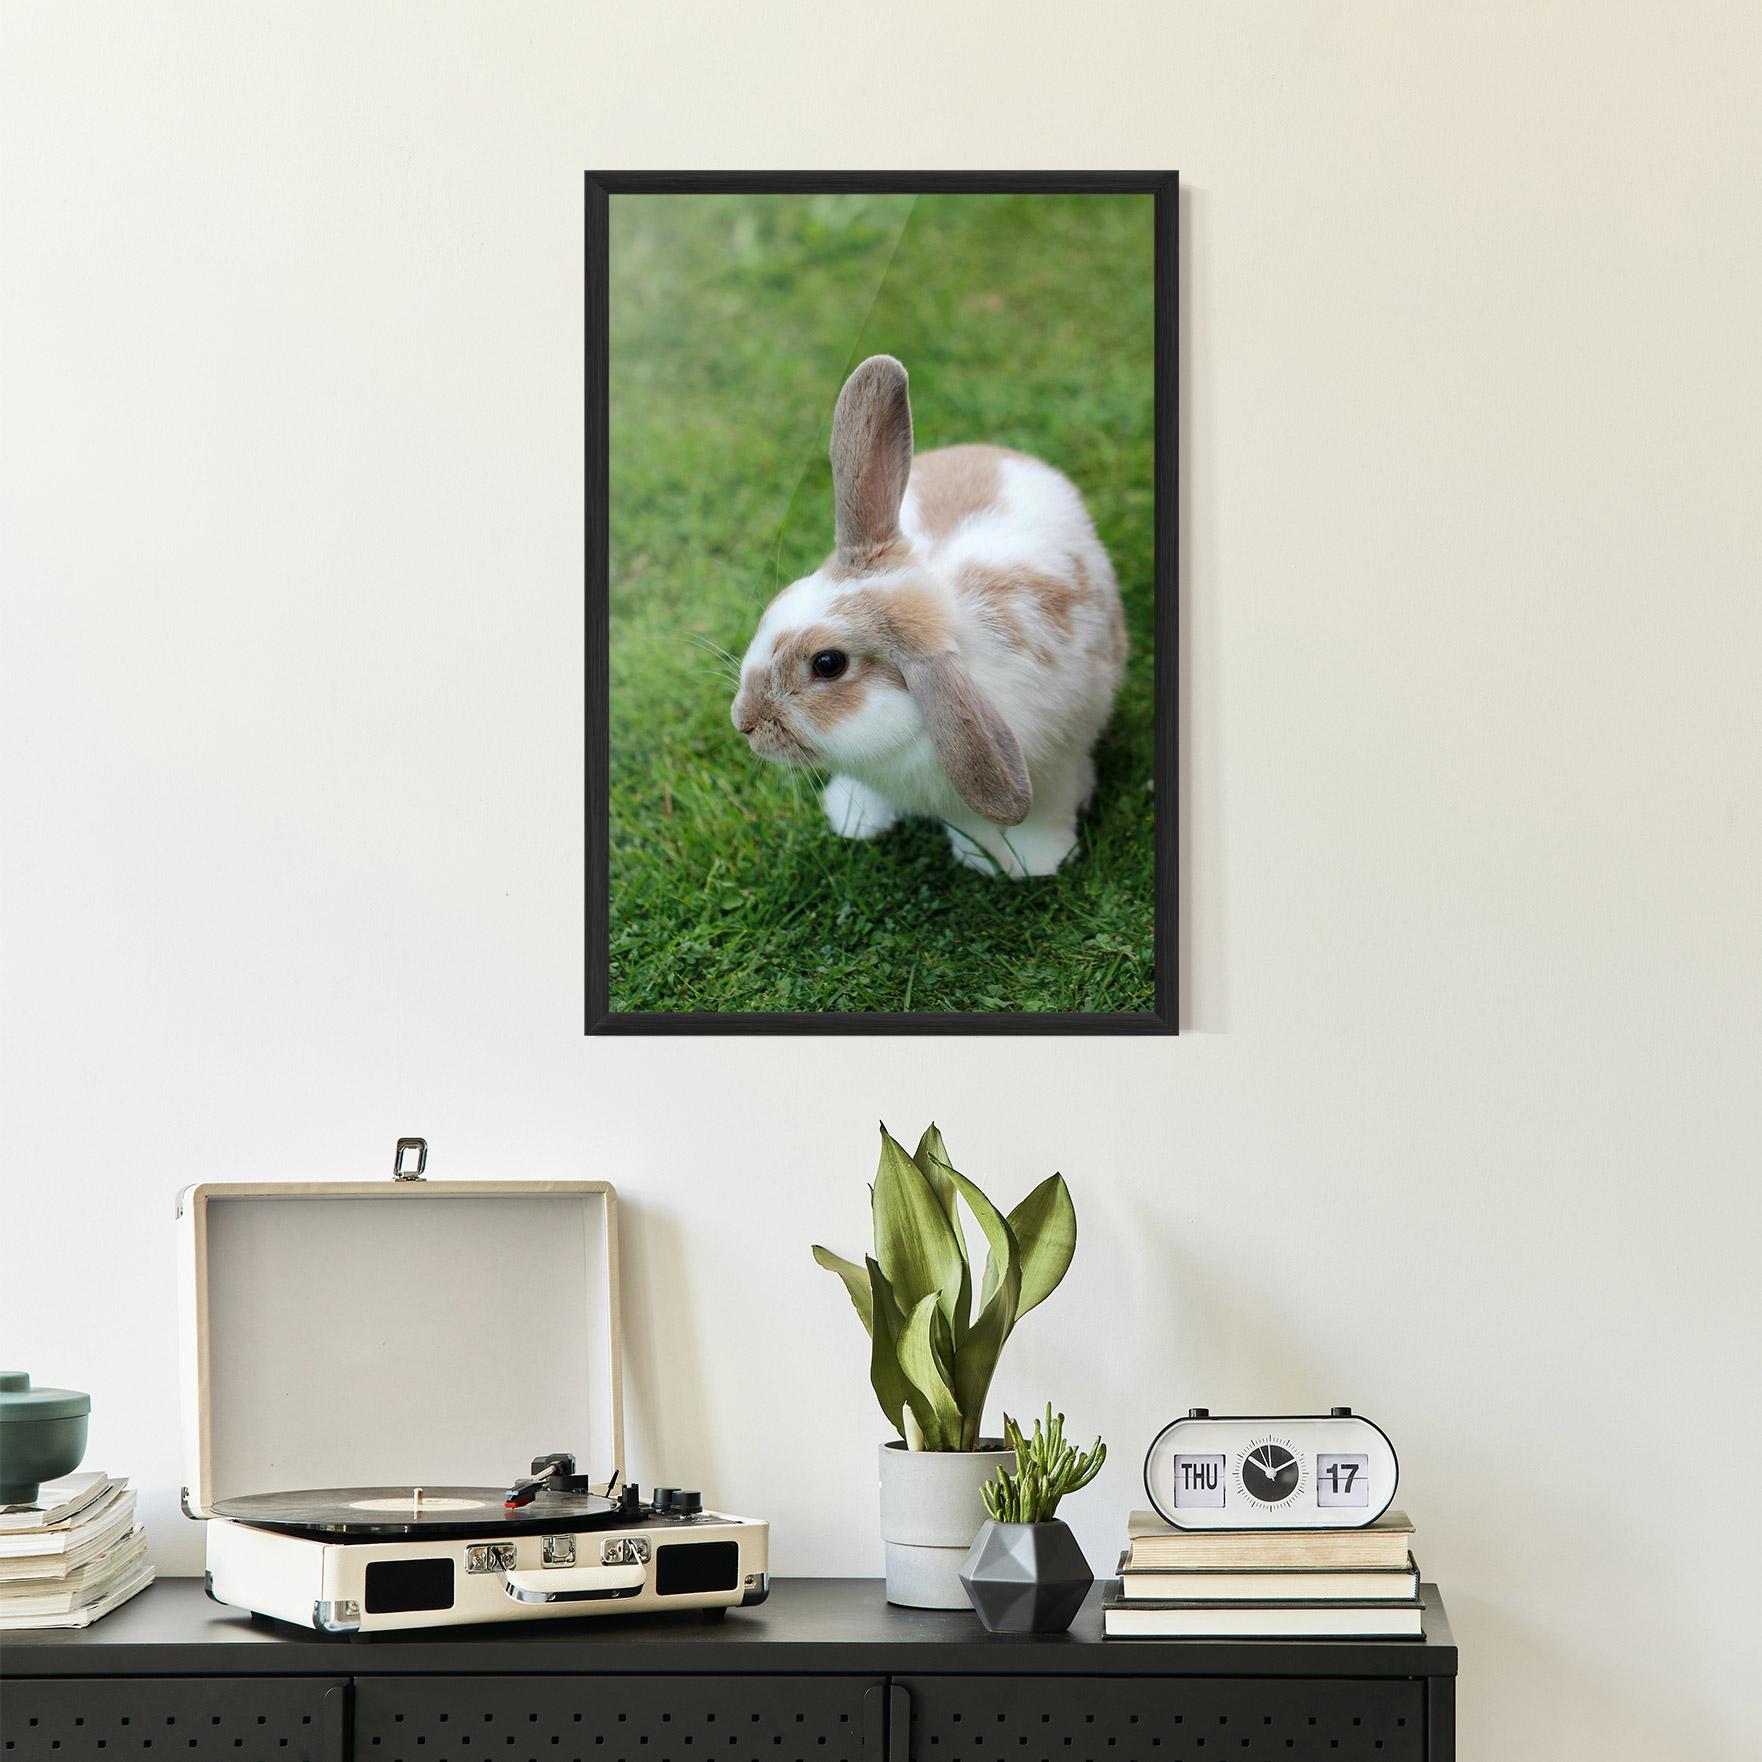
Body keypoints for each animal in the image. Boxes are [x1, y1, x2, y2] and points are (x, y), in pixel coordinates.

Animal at [730, 354, 1127, 878]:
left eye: (828, 664)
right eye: (780, 603)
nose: (743, 721)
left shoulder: (1052, 767)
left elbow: (1042, 814)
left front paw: (1035, 862)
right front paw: (854, 818)